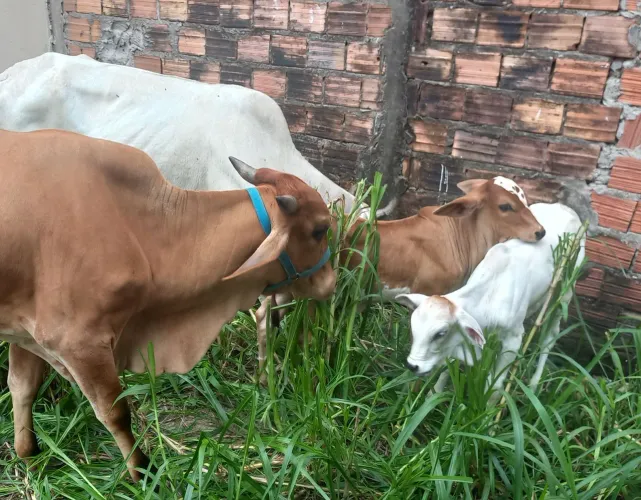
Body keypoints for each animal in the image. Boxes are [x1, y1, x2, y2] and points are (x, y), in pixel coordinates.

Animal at [0, 129, 336, 481]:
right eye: (320, 229)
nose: (330, 282)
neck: (137, 228)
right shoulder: (78, 343)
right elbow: (115, 412)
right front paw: (142, 473)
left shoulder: (23, 331)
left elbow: (22, 388)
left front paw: (29, 459)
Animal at [396, 202, 585, 401]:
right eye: (413, 328)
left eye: (440, 333)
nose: (412, 366)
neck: (490, 296)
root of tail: (565, 208)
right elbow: (448, 370)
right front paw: (434, 395)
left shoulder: (513, 340)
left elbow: (494, 388)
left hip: (565, 292)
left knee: (550, 335)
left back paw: (534, 384)